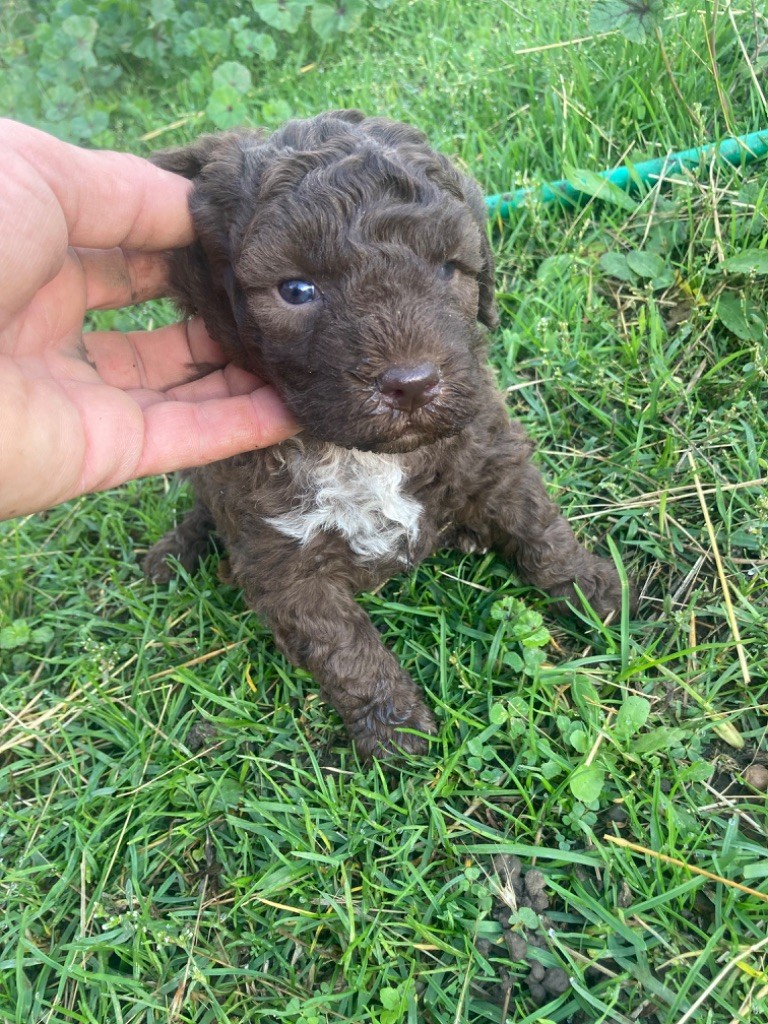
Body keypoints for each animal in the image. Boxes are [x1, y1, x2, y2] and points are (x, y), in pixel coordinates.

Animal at [145, 110, 638, 761]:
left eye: (448, 269)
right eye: (296, 290)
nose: (412, 384)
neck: (360, 454)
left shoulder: (490, 450)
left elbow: (540, 529)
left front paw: (595, 591)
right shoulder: (280, 561)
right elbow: (345, 650)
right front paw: (395, 733)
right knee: (201, 510)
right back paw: (173, 554)